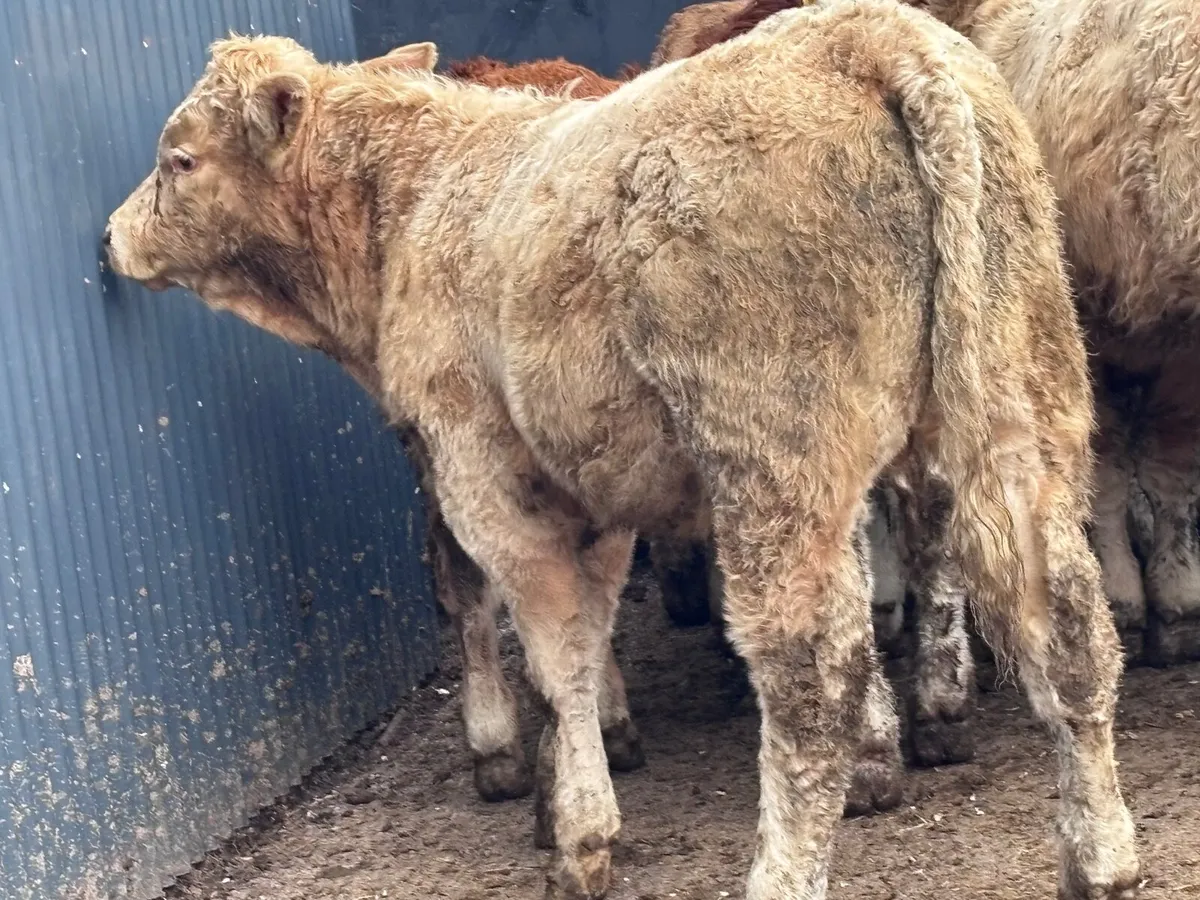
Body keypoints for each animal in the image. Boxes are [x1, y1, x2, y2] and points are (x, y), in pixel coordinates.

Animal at [103, 3, 1137, 896]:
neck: (417, 200)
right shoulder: (590, 487)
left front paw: (573, 829)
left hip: (776, 456)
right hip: (1019, 404)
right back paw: (1101, 860)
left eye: (180, 158)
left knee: (813, 679)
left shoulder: (481, 469)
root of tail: (867, 37)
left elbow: (545, 640)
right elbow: (589, 628)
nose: (113, 236)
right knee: (1067, 625)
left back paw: (782, 873)